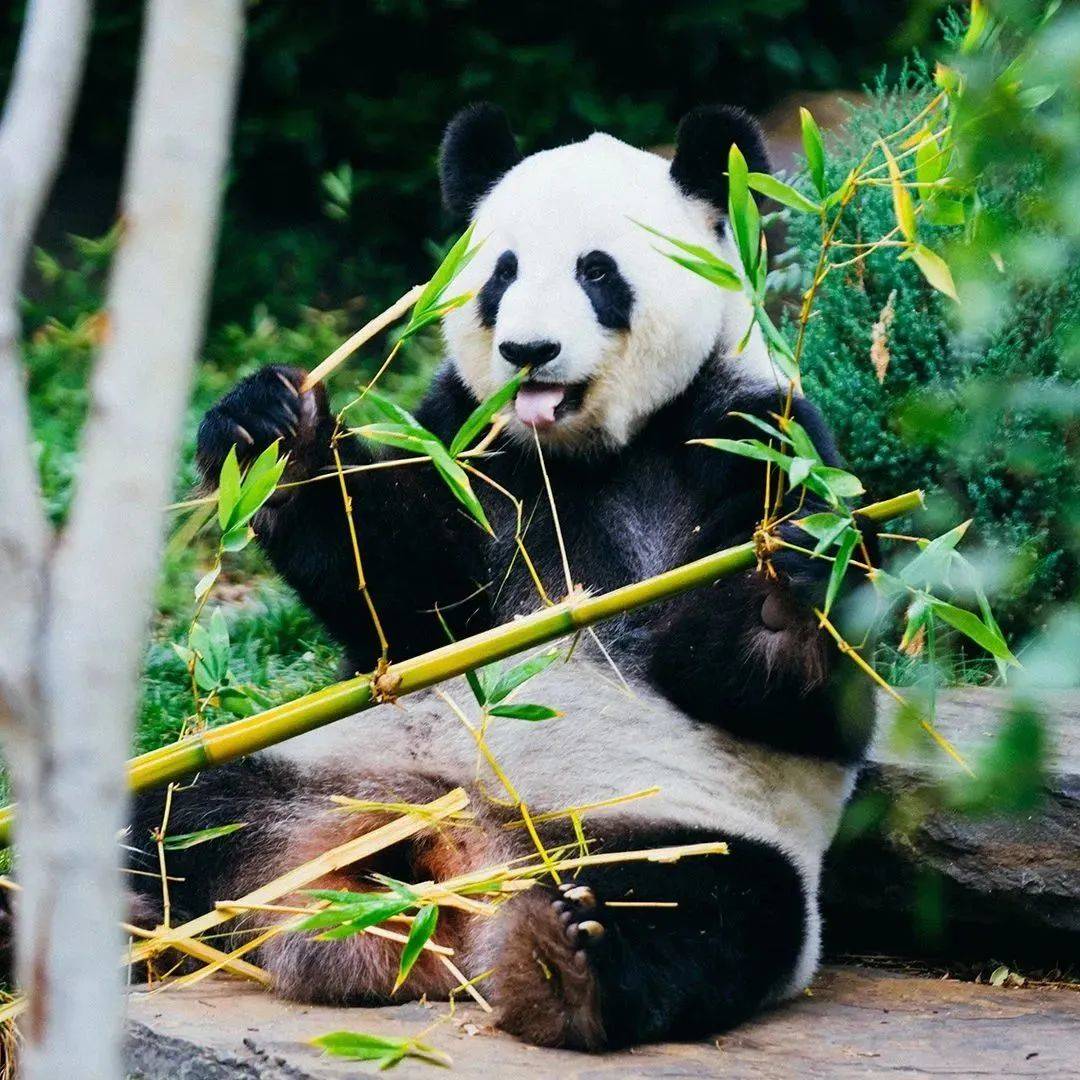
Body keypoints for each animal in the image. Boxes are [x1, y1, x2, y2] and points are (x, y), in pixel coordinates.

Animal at [124, 105, 876, 1049]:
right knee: (176, 818)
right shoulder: (469, 444)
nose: (528, 351)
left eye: (597, 270)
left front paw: (779, 592)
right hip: (303, 768)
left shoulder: (757, 433)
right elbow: (408, 597)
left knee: (711, 907)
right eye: (502, 272)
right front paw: (273, 431)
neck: (580, 452)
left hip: (674, 828)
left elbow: (811, 695)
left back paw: (568, 959)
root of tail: (451, 863)